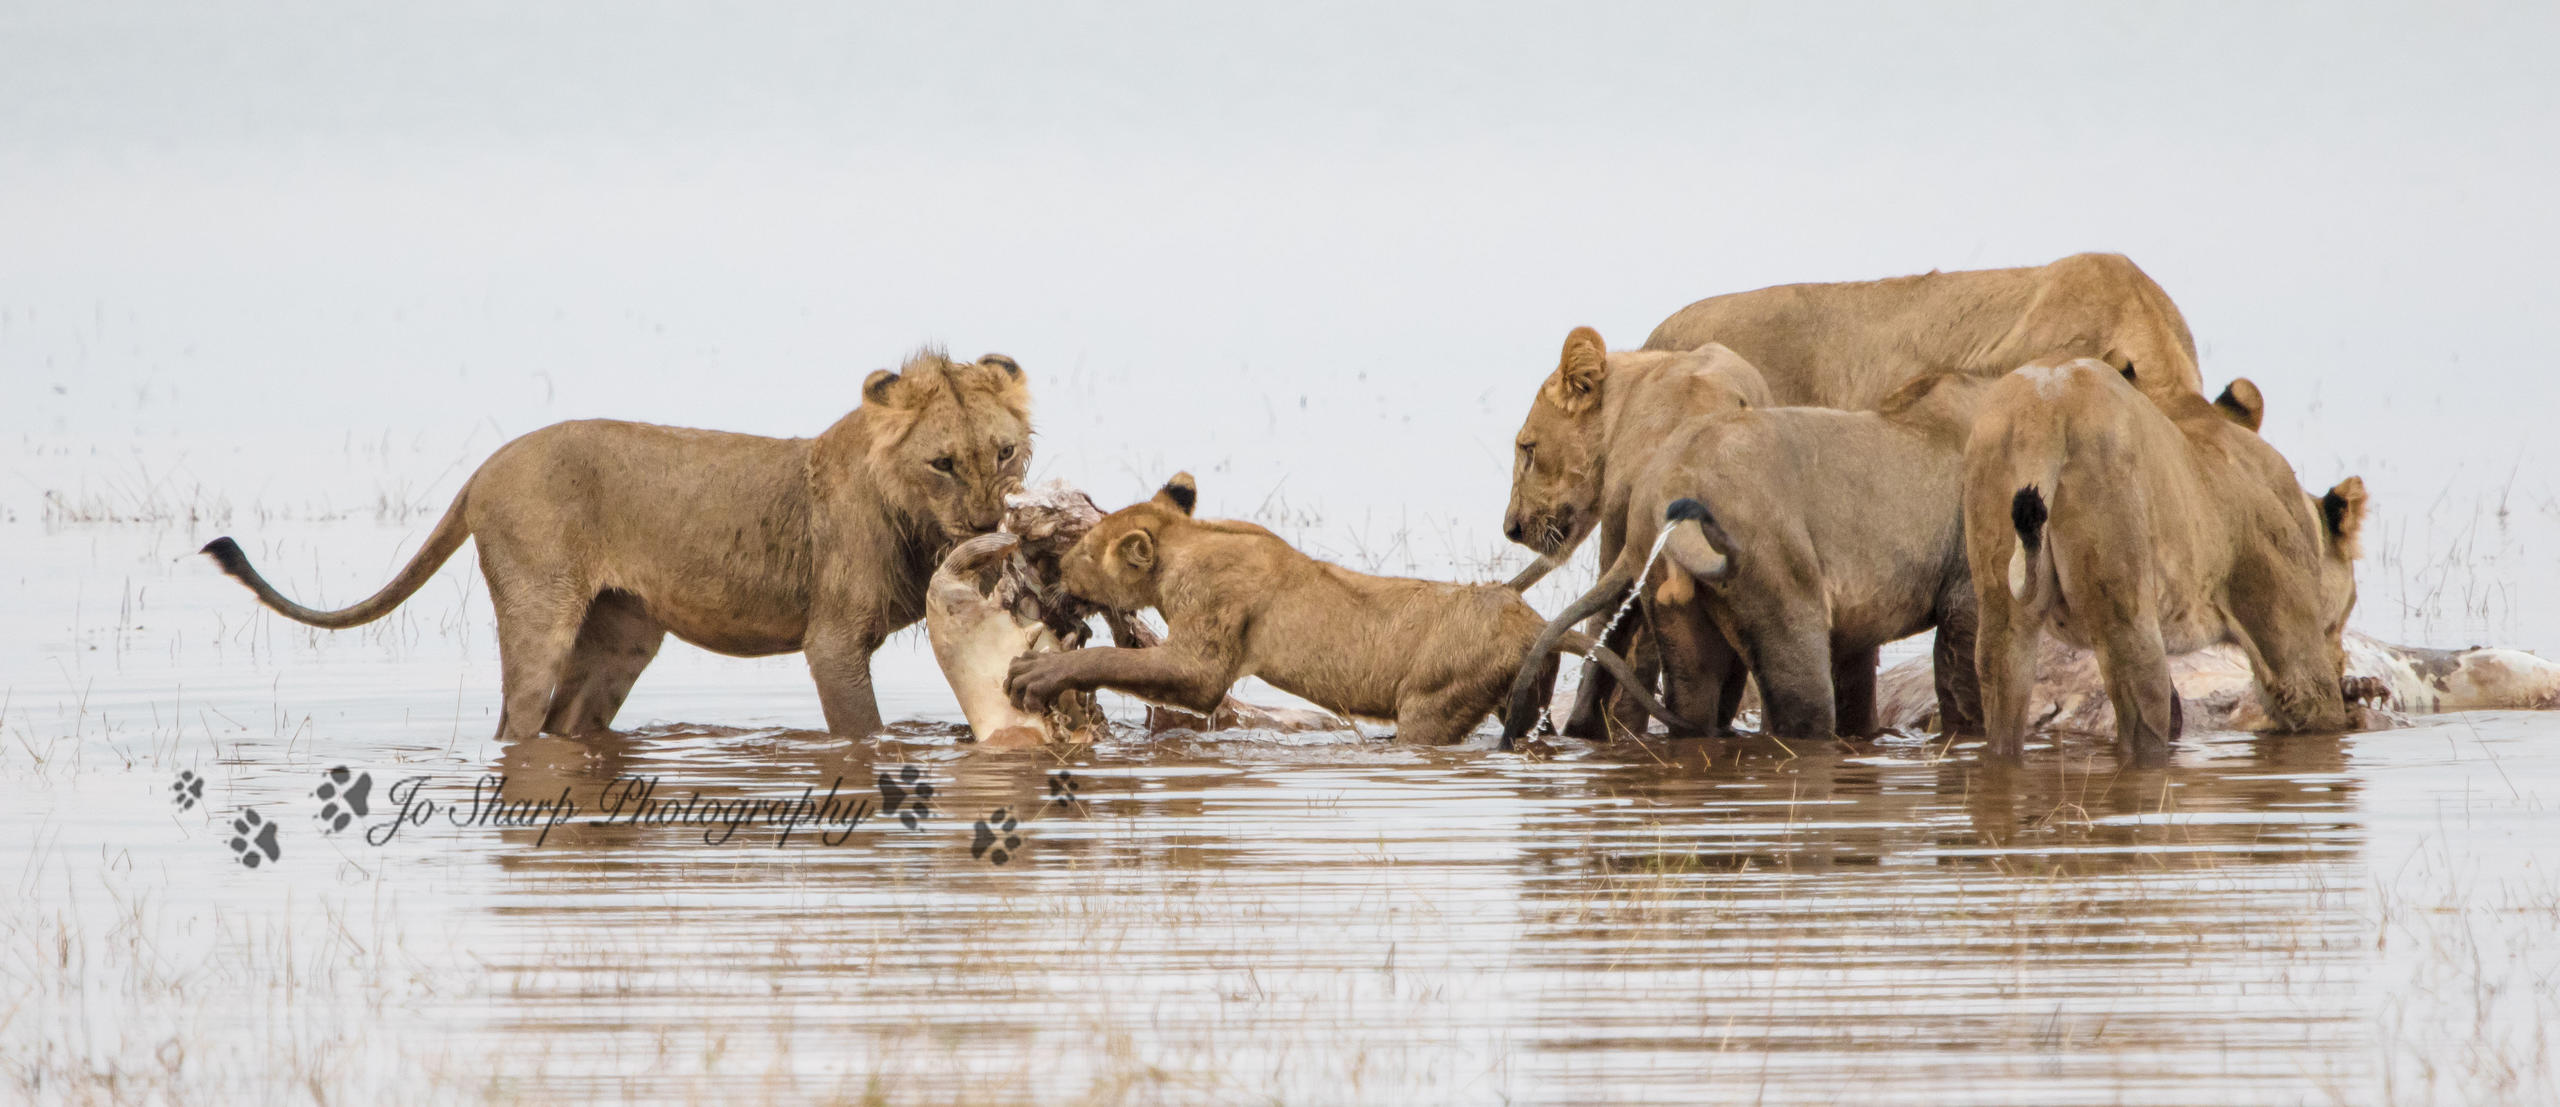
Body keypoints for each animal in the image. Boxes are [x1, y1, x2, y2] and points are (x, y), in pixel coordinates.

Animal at [202, 349, 1033, 741]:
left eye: (1005, 452)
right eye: (942, 462)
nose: (987, 521)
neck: (917, 519)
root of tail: (483, 468)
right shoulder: (831, 640)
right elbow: (862, 726)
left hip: (622, 634)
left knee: (568, 721)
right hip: (539, 608)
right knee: (517, 717)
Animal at [1002, 474, 1692, 745]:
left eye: (1075, 554)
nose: (1054, 576)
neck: (1186, 543)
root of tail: (1532, 621)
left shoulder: (1207, 650)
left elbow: (1124, 661)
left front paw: (1037, 674)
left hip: (1433, 700)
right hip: (1522, 695)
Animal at [1498, 373, 1997, 746]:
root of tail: (1668, 481)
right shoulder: (1966, 571)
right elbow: (1965, 662)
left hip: (1673, 588)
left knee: (1697, 694)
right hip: (1775, 563)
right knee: (1803, 703)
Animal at [1963, 357, 2367, 761]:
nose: (2342, 662)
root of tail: (2046, 405)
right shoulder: (2292, 651)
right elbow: (2315, 705)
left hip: (2003, 605)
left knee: (2001, 697)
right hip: (2127, 609)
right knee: (2146, 716)